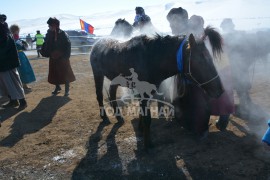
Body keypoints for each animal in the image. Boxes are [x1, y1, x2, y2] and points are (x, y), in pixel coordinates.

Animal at [90, 32, 224, 149]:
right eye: (201, 60)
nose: (220, 90)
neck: (151, 58)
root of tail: (96, 44)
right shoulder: (143, 92)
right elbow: (147, 118)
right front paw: (147, 145)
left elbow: (143, 113)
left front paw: (140, 128)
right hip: (98, 74)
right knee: (99, 96)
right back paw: (104, 117)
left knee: (112, 93)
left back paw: (119, 117)